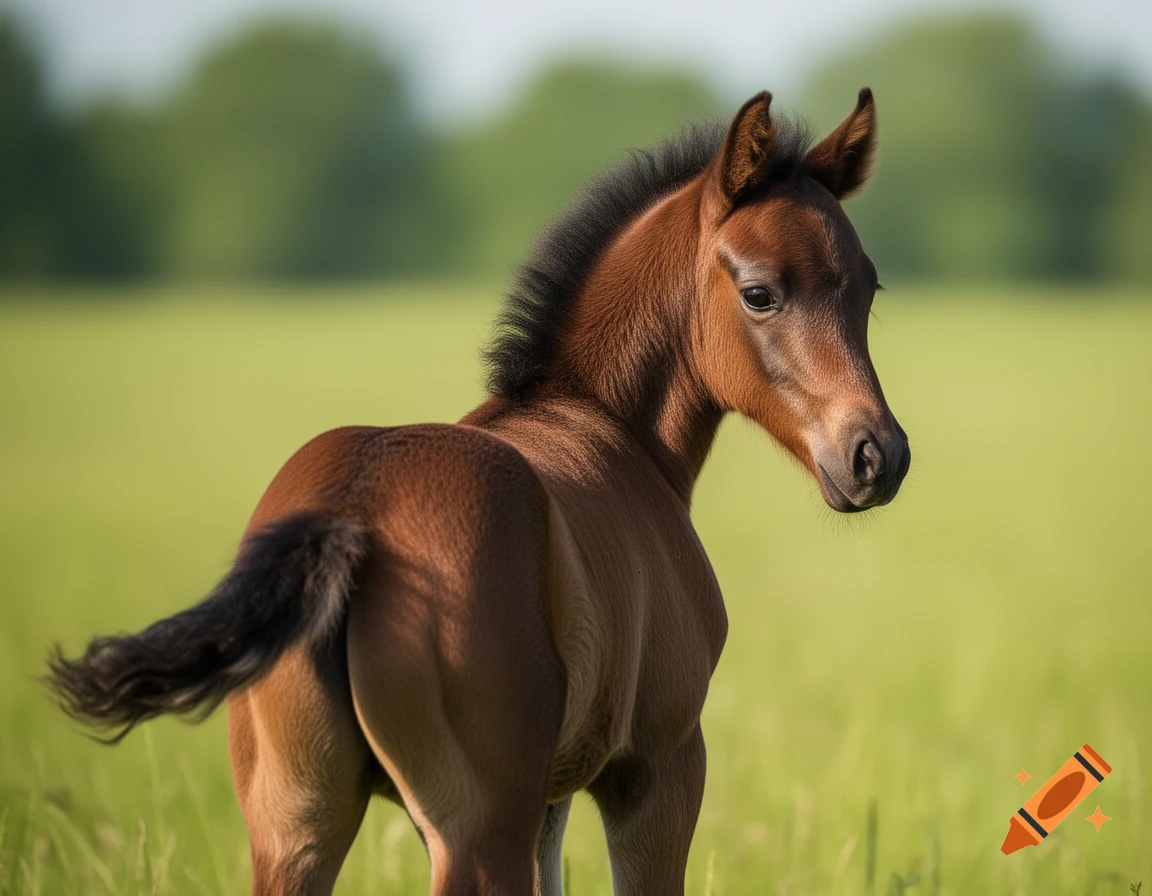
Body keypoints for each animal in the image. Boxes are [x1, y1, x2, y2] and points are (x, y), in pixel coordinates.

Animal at [47, 88, 909, 895]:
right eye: (760, 292)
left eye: (867, 288)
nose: (878, 457)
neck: (606, 424)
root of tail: (349, 515)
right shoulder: (656, 769)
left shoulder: (550, 797)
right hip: (475, 826)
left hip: (297, 823)